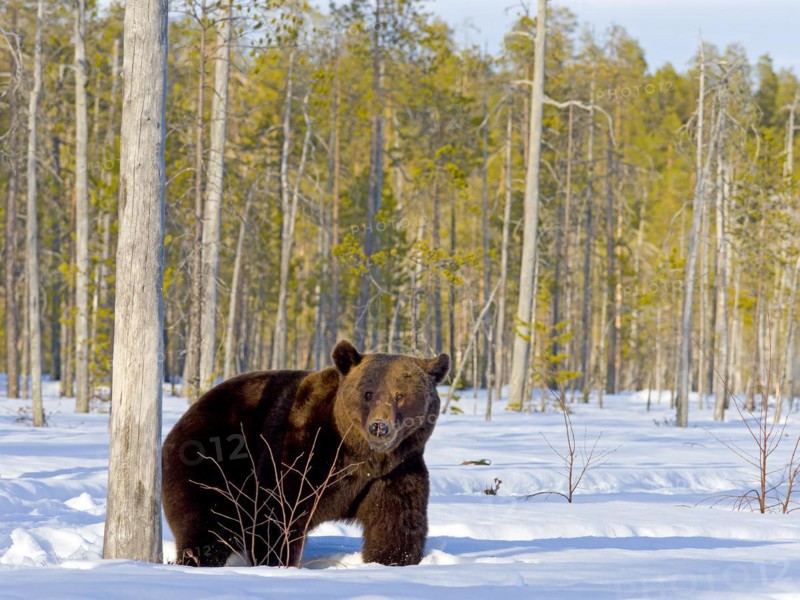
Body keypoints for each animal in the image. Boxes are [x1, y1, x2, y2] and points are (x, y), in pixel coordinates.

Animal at [162, 340, 449, 568]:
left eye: (400, 395)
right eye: (368, 393)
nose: (379, 426)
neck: (358, 454)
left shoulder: (395, 473)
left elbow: (396, 525)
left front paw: (392, 561)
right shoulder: (301, 451)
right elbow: (277, 514)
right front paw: (277, 561)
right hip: (211, 465)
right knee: (208, 524)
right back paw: (197, 559)